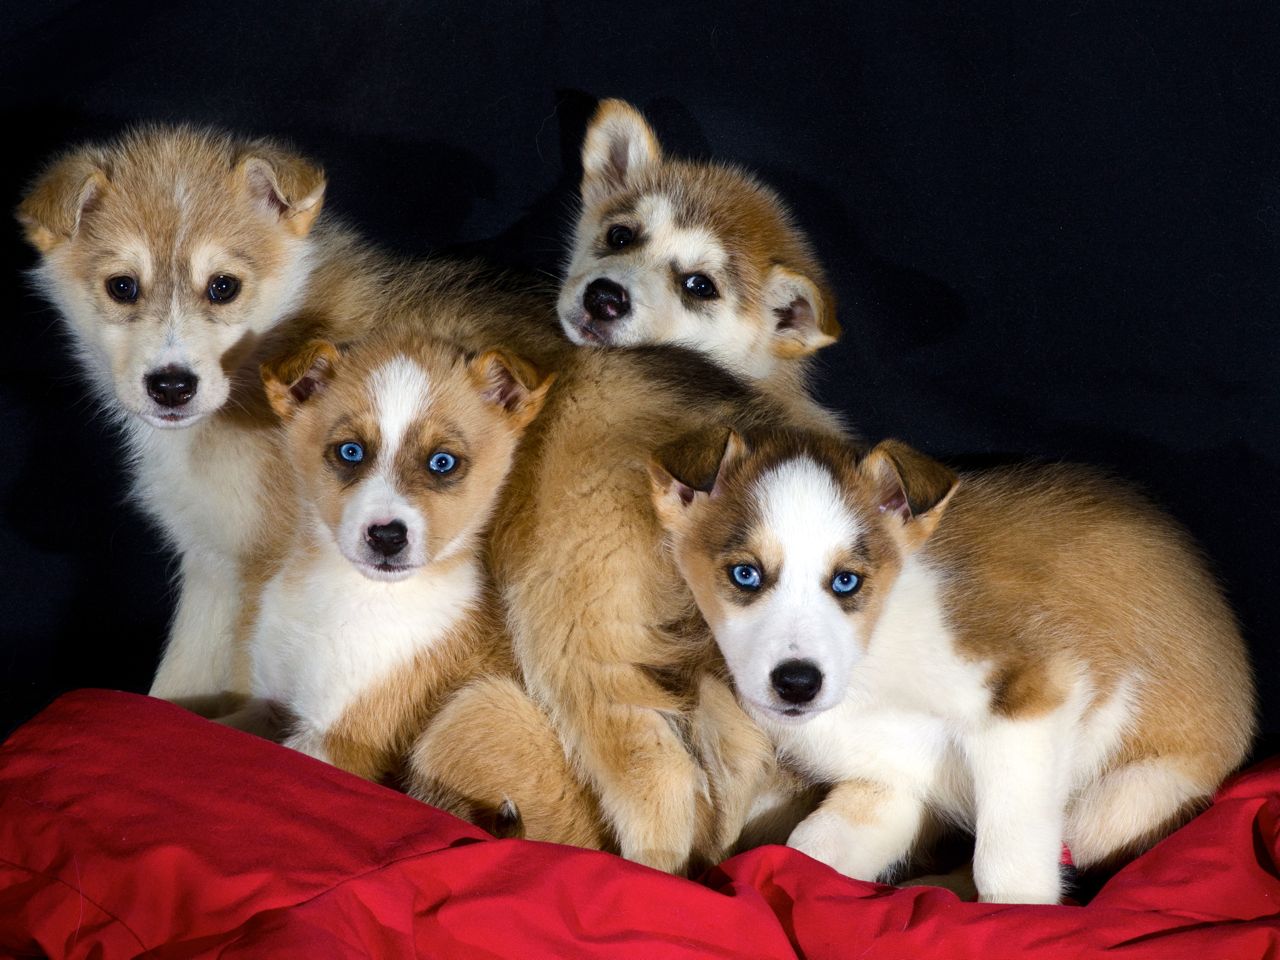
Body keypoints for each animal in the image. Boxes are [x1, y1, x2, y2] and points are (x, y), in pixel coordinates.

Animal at [17, 126, 567, 711]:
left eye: (223, 286)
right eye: (122, 286)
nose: (171, 386)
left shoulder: (264, 574)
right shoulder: (213, 565)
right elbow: (174, 685)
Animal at [240, 329, 552, 782]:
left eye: (443, 462)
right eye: (350, 451)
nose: (387, 537)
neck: (347, 595)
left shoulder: (340, 741)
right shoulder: (268, 703)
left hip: (477, 710)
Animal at [650, 427, 1256, 902]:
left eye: (846, 581)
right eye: (744, 574)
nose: (797, 684)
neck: (872, 662)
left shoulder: (1033, 697)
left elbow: (1006, 861)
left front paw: (1015, 919)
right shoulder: (888, 783)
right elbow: (810, 849)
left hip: (1116, 805)